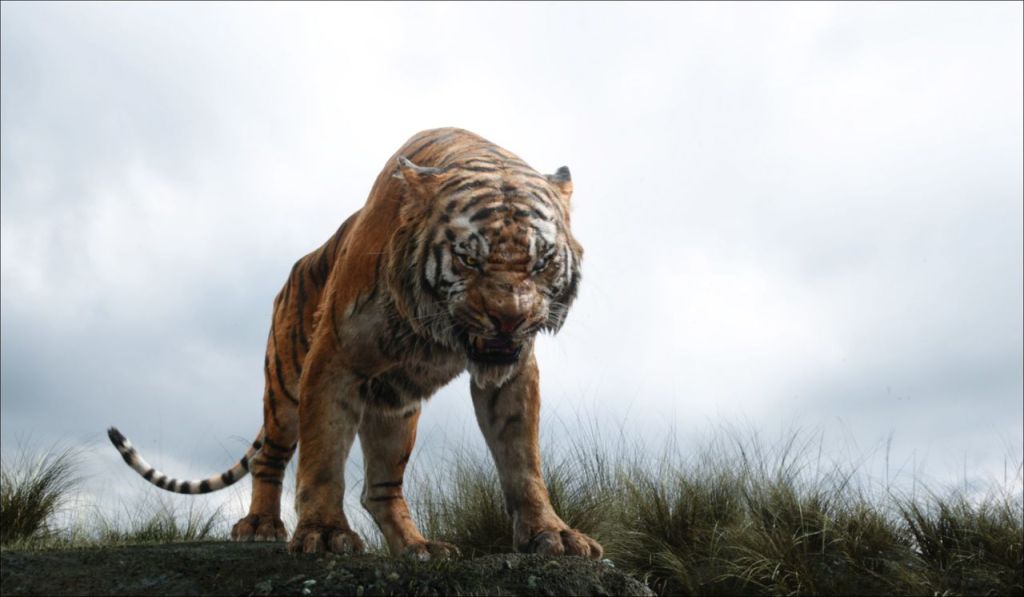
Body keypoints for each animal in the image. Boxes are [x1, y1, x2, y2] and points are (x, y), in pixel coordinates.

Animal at [108, 127, 601, 560]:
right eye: (468, 258)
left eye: (542, 262)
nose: (509, 317)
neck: (435, 331)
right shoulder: (334, 358)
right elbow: (324, 456)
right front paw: (325, 534)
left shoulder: (512, 374)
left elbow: (523, 461)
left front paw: (553, 535)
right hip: (284, 387)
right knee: (270, 457)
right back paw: (261, 526)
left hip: (395, 404)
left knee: (380, 489)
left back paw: (418, 547)